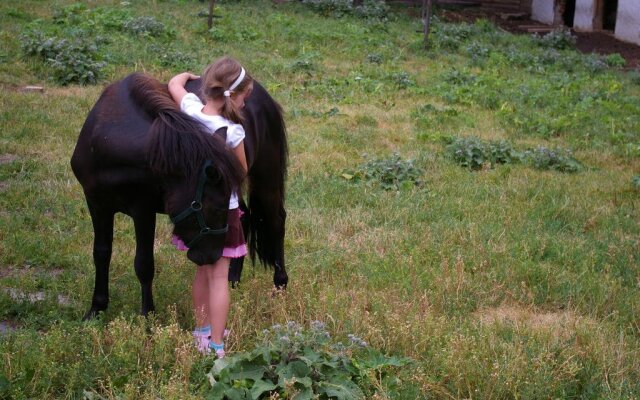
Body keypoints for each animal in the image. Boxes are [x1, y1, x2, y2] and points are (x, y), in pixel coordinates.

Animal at [71, 73, 288, 318]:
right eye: (214, 208)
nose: (210, 257)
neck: (106, 141)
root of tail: (263, 95)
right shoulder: (97, 204)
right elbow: (101, 253)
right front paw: (96, 308)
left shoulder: (142, 210)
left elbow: (144, 264)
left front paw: (147, 317)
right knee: (244, 217)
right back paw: (233, 280)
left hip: (266, 176)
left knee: (276, 220)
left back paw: (280, 285)